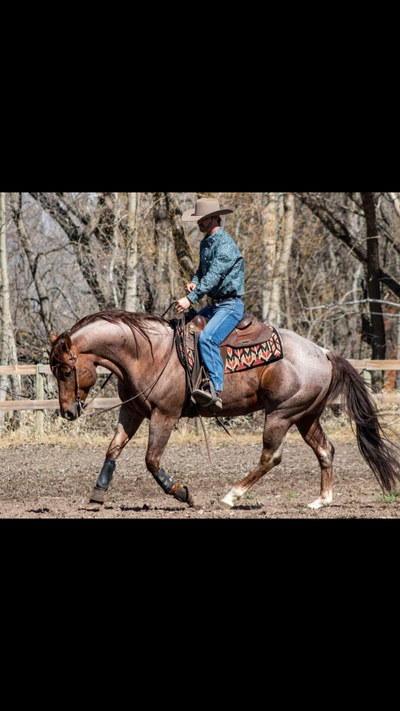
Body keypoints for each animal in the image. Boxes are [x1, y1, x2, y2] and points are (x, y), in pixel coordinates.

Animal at [49, 309, 400, 510]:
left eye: (65, 371)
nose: (67, 413)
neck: (148, 353)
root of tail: (324, 352)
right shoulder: (132, 412)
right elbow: (113, 450)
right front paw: (97, 495)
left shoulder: (165, 415)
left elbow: (151, 460)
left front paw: (182, 493)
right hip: (306, 416)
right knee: (325, 450)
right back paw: (321, 501)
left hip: (281, 415)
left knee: (271, 457)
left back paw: (231, 496)